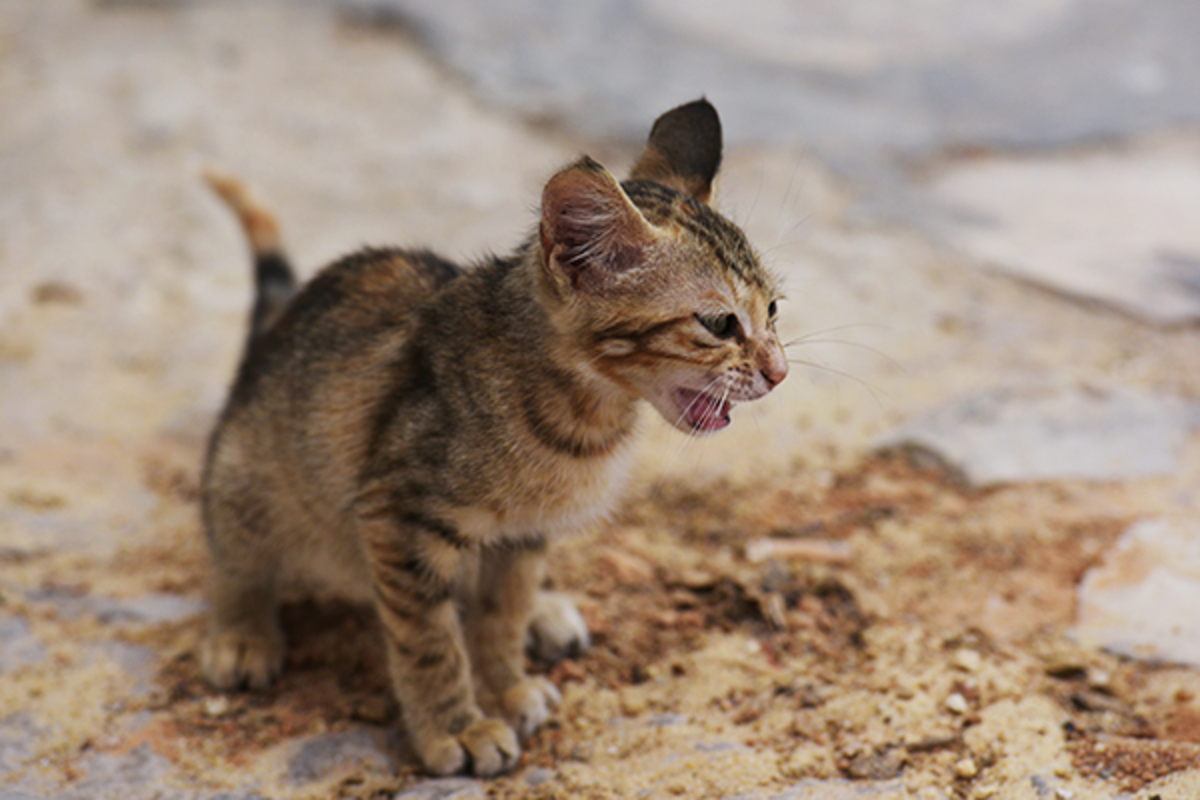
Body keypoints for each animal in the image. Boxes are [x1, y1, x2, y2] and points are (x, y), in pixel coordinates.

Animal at [199, 100, 787, 777]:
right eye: (719, 323)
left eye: (774, 309)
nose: (780, 371)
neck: (580, 418)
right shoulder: (398, 517)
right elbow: (430, 642)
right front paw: (456, 728)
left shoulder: (526, 533)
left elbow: (500, 617)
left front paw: (507, 685)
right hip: (249, 476)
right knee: (234, 554)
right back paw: (243, 632)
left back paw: (545, 614)